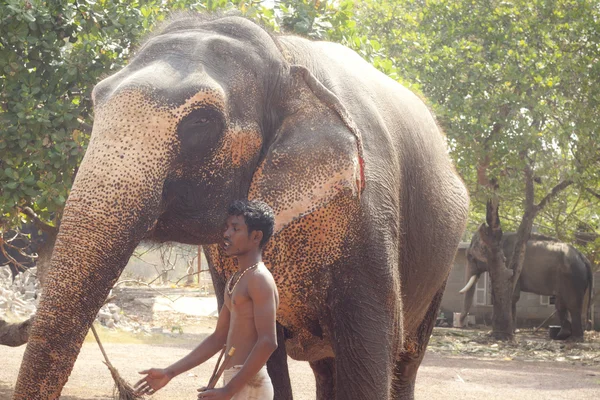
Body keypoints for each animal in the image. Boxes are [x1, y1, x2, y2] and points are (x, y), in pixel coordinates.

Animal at [10, 14, 468, 398]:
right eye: (96, 99)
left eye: (201, 121)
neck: (283, 57)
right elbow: (265, 351)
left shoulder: (369, 211)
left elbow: (370, 351)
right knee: (325, 366)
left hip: (442, 262)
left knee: (404, 360)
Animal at [462, 231, 592, 340]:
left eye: (470, 256)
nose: (463, 325)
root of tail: (584, 258)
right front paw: (512, 332)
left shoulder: (509, 265)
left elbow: (512, 295)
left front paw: (509, 332)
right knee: (561, 304)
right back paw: (561, 336)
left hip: (572, 278)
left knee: (572, 305)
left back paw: (575, 338)